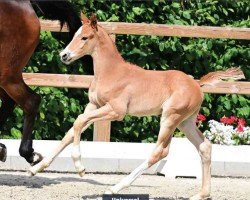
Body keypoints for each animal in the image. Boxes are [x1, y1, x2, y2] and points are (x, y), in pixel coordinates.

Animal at [29, 13, 244, 199]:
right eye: (74, 35)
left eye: (85, 37)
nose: (64, 55)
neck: (111, 72)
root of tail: (197, 84)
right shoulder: (93, 105)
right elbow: (72, 130)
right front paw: (35, 168)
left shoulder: (116, 111)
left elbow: (79, 122)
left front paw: (80, 168)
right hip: (186, 122)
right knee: (204, 146)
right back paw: (201, 195)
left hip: (170, 117)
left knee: (160, 152)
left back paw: (115, 188)